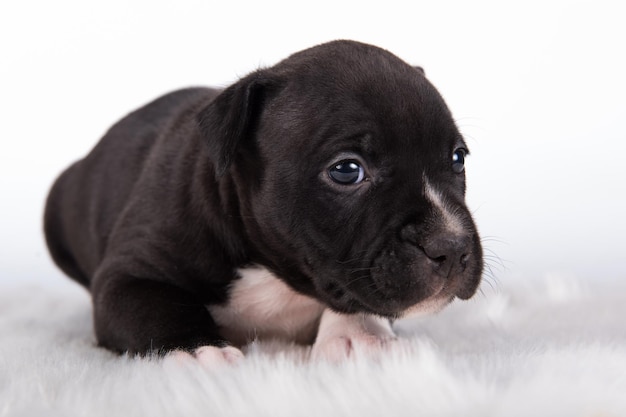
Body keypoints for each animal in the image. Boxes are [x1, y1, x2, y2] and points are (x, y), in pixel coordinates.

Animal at [45, 40, 482, 362]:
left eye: (458, 158)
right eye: (347, 170)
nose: (450, 245)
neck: (274, 273)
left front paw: (360, 335)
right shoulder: (127, 275)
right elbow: (155, 306)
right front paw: (200, 350)